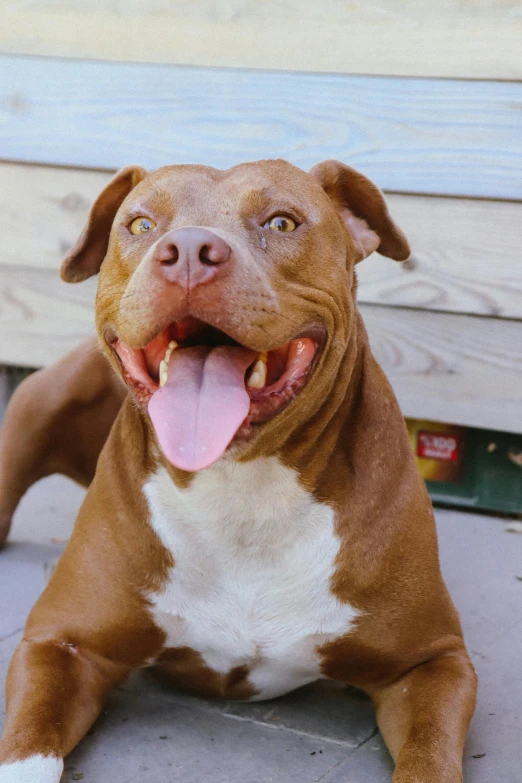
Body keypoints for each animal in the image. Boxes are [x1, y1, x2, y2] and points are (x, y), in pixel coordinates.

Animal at [0, 161, 474, 783]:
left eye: (282, 222)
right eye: (141, 223)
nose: (189, 250)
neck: (239, 490)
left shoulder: (433, 662)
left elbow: (428, 757)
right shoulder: (61, 643)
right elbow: (28, 747)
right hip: (38, 403)